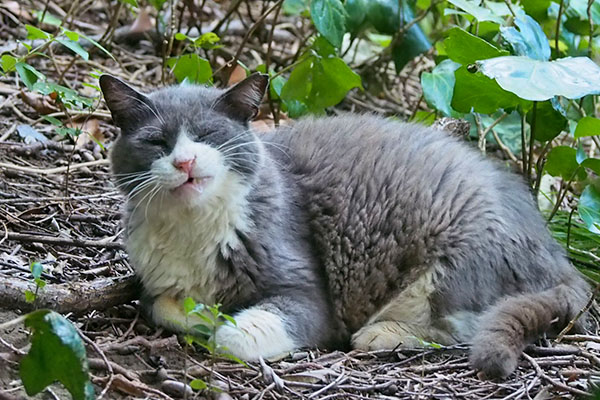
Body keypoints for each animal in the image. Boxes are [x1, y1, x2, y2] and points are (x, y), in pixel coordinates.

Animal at [99, 73, 592, 380]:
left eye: (207, 137)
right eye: (158, 142)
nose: (184, 161)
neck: (191, 228)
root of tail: (558, 256)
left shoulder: (307, 291)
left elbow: (235, 336)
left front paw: (220, 322)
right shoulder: (154, 281)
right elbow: (159, 304)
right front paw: (201, 312)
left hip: (455, 256)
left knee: (461, 326)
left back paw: (382, 334)